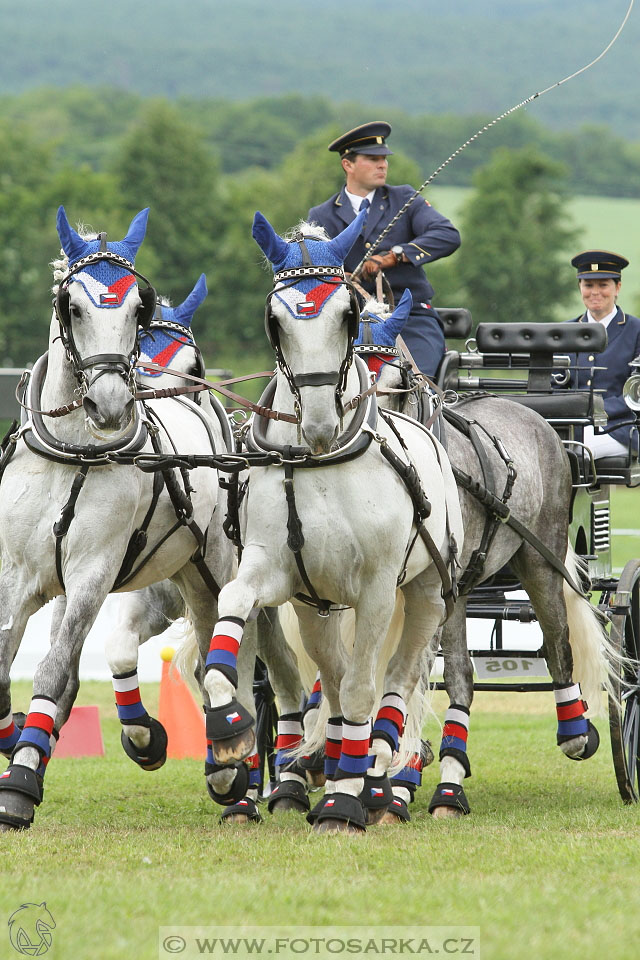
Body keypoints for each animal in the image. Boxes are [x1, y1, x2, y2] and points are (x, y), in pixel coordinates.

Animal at [0, 206, 234, 828]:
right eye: (73, 306)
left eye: (136, 308)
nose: (109, 405)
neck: (75, 450)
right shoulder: (16, 576)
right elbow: (8, 669)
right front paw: (15, 741)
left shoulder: (91, 575)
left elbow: (54, 670)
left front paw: (20, 786)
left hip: (217, 570)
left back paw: (237, 768)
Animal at [202, 212, 462, 832]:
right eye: (275, 321)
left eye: (345, 314)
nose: (318, 422)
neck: (321, 461)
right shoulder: (274, 573)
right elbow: (232, 610)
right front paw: (227, 727)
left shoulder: (377, 591)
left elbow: (368, 688)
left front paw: (345, 799)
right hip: (316, 606)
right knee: (336, 681)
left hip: (425, 594)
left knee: (394, 681)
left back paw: (380, 779)